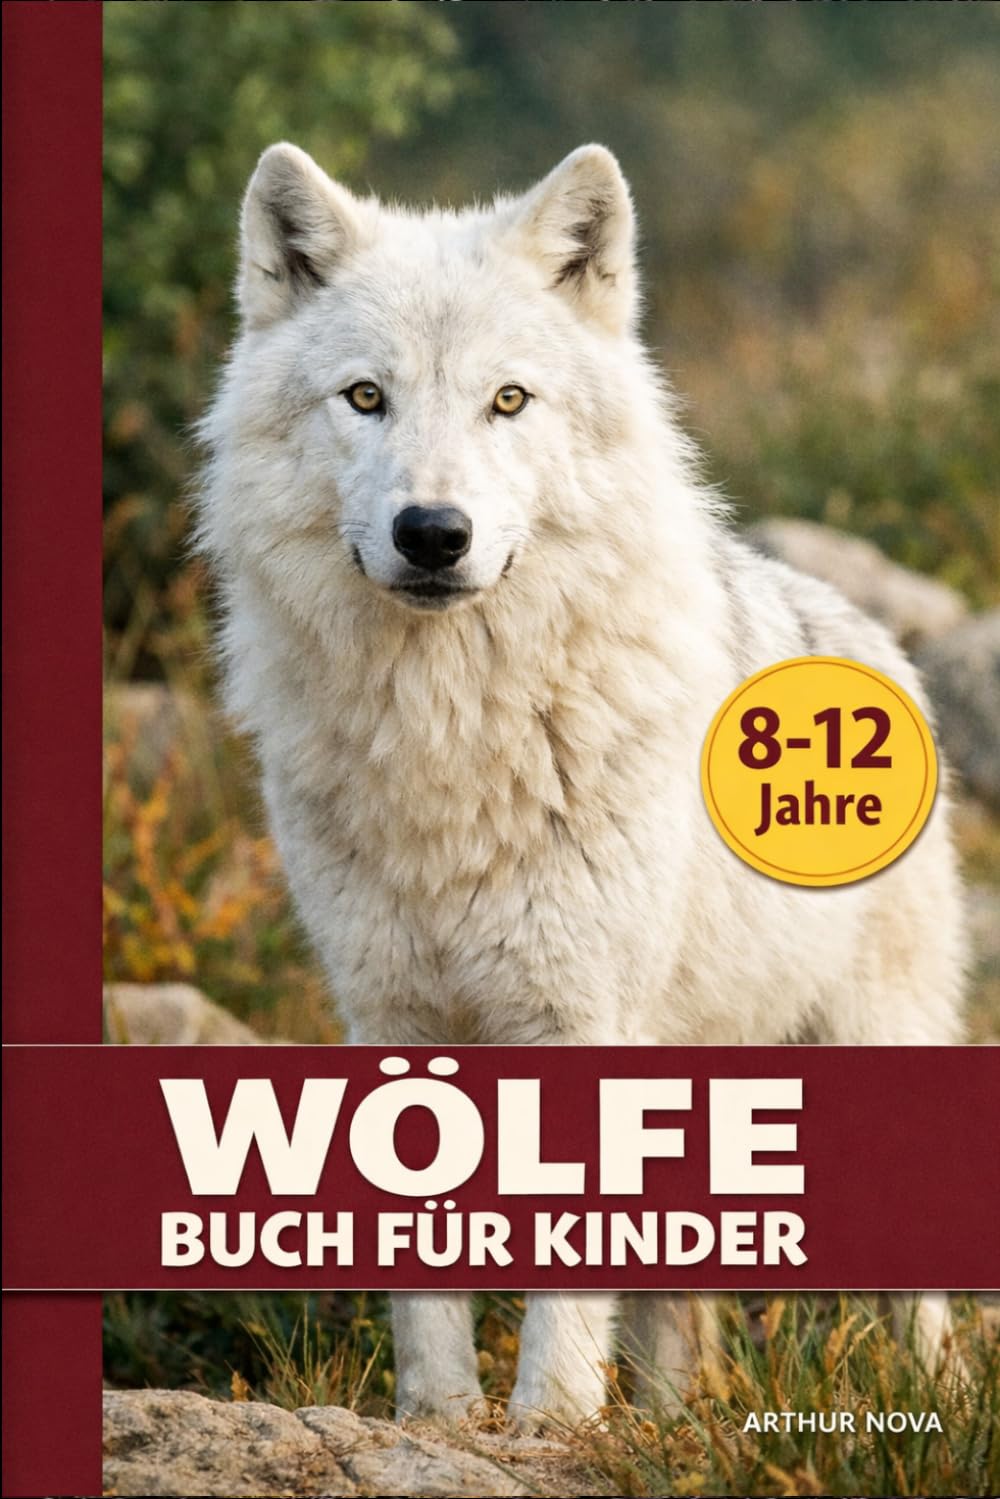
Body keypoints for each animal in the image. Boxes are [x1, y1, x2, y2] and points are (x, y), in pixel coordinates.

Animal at [198, 142, 965, 1428]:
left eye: (508, 400)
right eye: (366, 397)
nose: (434, 531)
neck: (451, 740)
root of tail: (864, 633)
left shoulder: (579, 1017)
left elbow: (567, 1260)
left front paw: (547, 1421)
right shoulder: (391, 1013)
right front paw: (440, 1417)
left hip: (864, 1046)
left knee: (919, 1309)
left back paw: (934, 1401)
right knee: (679, 1317)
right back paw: (661, 1420)